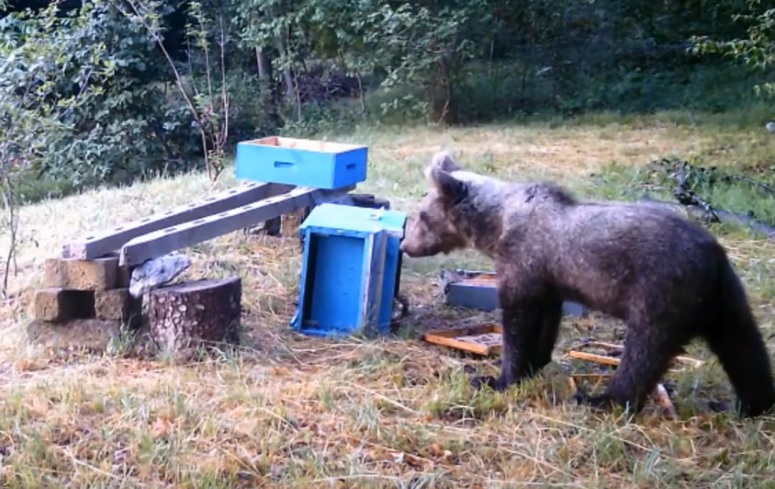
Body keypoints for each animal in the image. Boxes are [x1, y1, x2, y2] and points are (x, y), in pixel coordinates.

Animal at [399, 150, 775, 418]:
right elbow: (545, 323)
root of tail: (714, 258)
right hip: (726, 301)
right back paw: (749, 403)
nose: (404, 244)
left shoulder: (522, 263)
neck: (498, 224)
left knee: (644, 351)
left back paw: (600, 400)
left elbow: (518, 324)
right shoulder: (548, 279)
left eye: (421, 214)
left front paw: (496, 378)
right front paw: (535, 364)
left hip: (661, 292)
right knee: (744, 348)